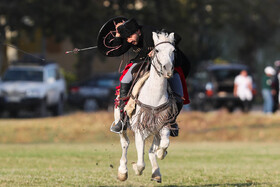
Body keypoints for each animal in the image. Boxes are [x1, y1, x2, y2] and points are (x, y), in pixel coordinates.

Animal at [113, 31, 175, 183]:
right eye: (157, 50)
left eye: (173, 50)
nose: (168, 69)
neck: (154, 95)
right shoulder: (139, 130)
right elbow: (141, 163)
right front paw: (135, 168)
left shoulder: (163, 125)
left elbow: (163, 144)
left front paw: (161, 153)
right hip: (120, 122)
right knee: (125, 143)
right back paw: (122, 171)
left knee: (152, 148)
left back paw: (156, 172)